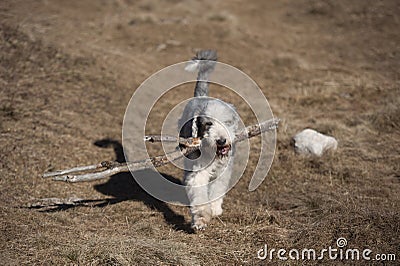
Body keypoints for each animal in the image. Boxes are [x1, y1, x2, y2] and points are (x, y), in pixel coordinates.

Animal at [179, 50, 241, 231]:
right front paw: (200, 220)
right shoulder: (198, 171)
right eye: (208, 124)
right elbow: (199, 194)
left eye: (227, 122)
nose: (221, 140)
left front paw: (214, 209)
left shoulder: (223, 171)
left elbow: (217, 190)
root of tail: (201, 96)